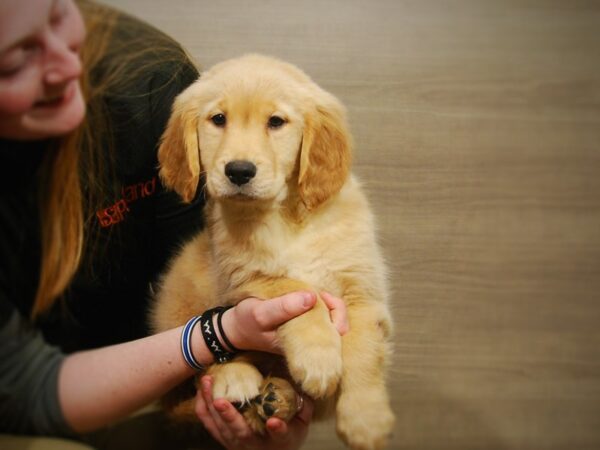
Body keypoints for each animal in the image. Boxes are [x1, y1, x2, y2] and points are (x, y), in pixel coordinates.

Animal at [150, 53, 394, 450]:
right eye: (218, 119)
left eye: (276, 122)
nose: (239, 171)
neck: (284, 218)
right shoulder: (248, 277)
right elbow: (301, 293)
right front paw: (319, 358)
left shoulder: (363, 290)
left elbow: (364, 351)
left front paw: (366, 418)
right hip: (186, 281)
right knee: (202, 358)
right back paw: (237, 379)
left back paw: (277, 399)